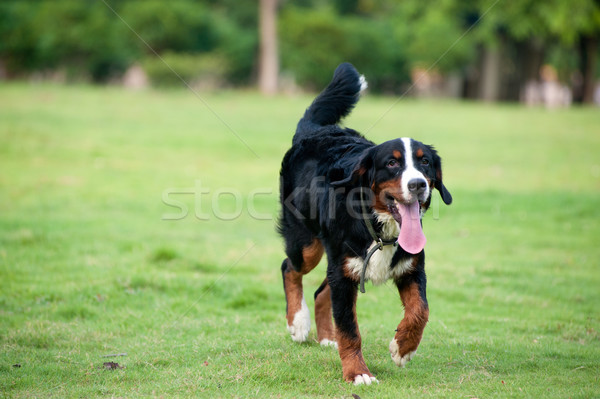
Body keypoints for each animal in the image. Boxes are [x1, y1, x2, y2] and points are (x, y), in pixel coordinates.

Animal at [276, 62, 450, 384]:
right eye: (392, 163)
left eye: (425, 163)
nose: (418, 184)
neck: (380, 227)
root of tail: (315, 130)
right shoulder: (344, 275)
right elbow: (350, 330)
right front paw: (358, 373)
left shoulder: (410, 268)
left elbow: (421, 310)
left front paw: (403, 347)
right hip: (309, 245)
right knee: (289, 268)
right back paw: (298, 322)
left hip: (341, 262)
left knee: (320, 291)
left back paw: (326, 336)